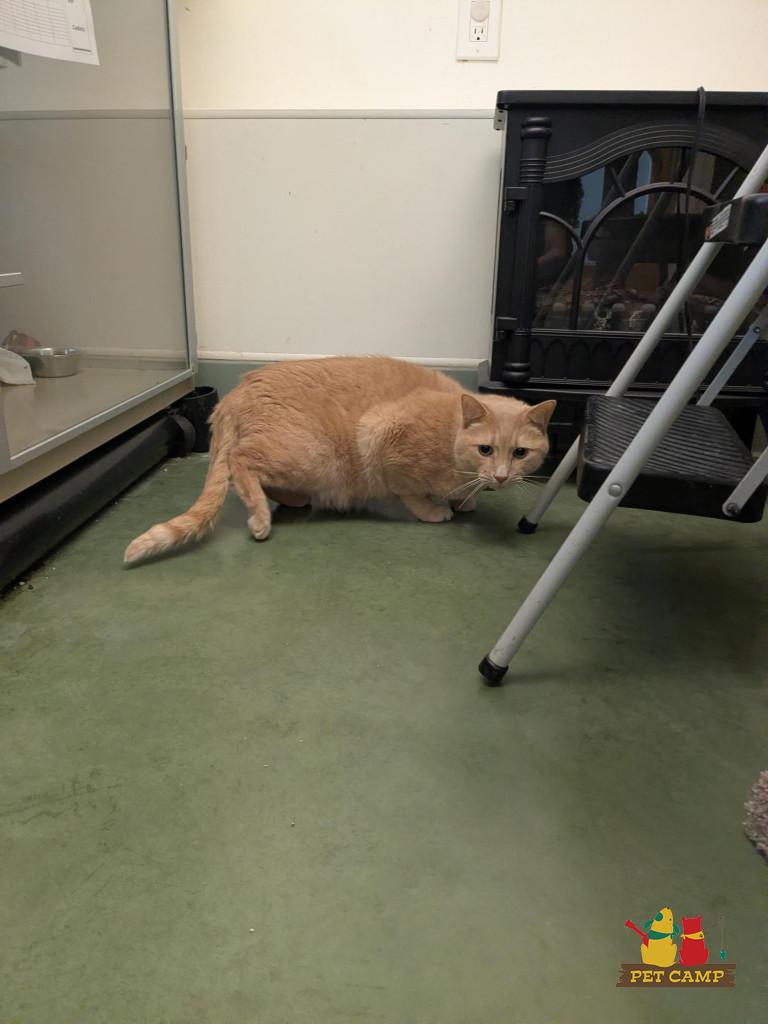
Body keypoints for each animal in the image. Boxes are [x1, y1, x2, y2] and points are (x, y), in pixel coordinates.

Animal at [124, 356, 555, 564]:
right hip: (313, 455)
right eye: (486, 449)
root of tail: (234, 393)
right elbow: (410, 491)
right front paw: (436, 509)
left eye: (520, 453)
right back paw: (261, 517)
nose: (501, 477)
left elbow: (464, 492)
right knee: (239, 460)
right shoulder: (379, 435)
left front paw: (465, 499)